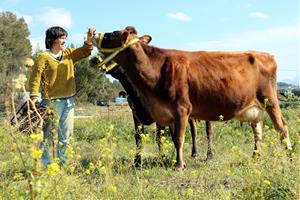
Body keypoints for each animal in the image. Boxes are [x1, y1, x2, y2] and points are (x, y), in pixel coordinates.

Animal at [92, 26, 292, 170]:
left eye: (113, 34)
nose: (93, 33)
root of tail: (266, 54)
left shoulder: (181, 109)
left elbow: (179, 138)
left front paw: (179, 165)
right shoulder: (164, 114)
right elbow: (169, 139)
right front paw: (172, 161)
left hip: (270, 100)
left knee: (282, 127)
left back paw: (289, 154)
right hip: (254, 108)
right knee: (258, 131)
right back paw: (255, 157)